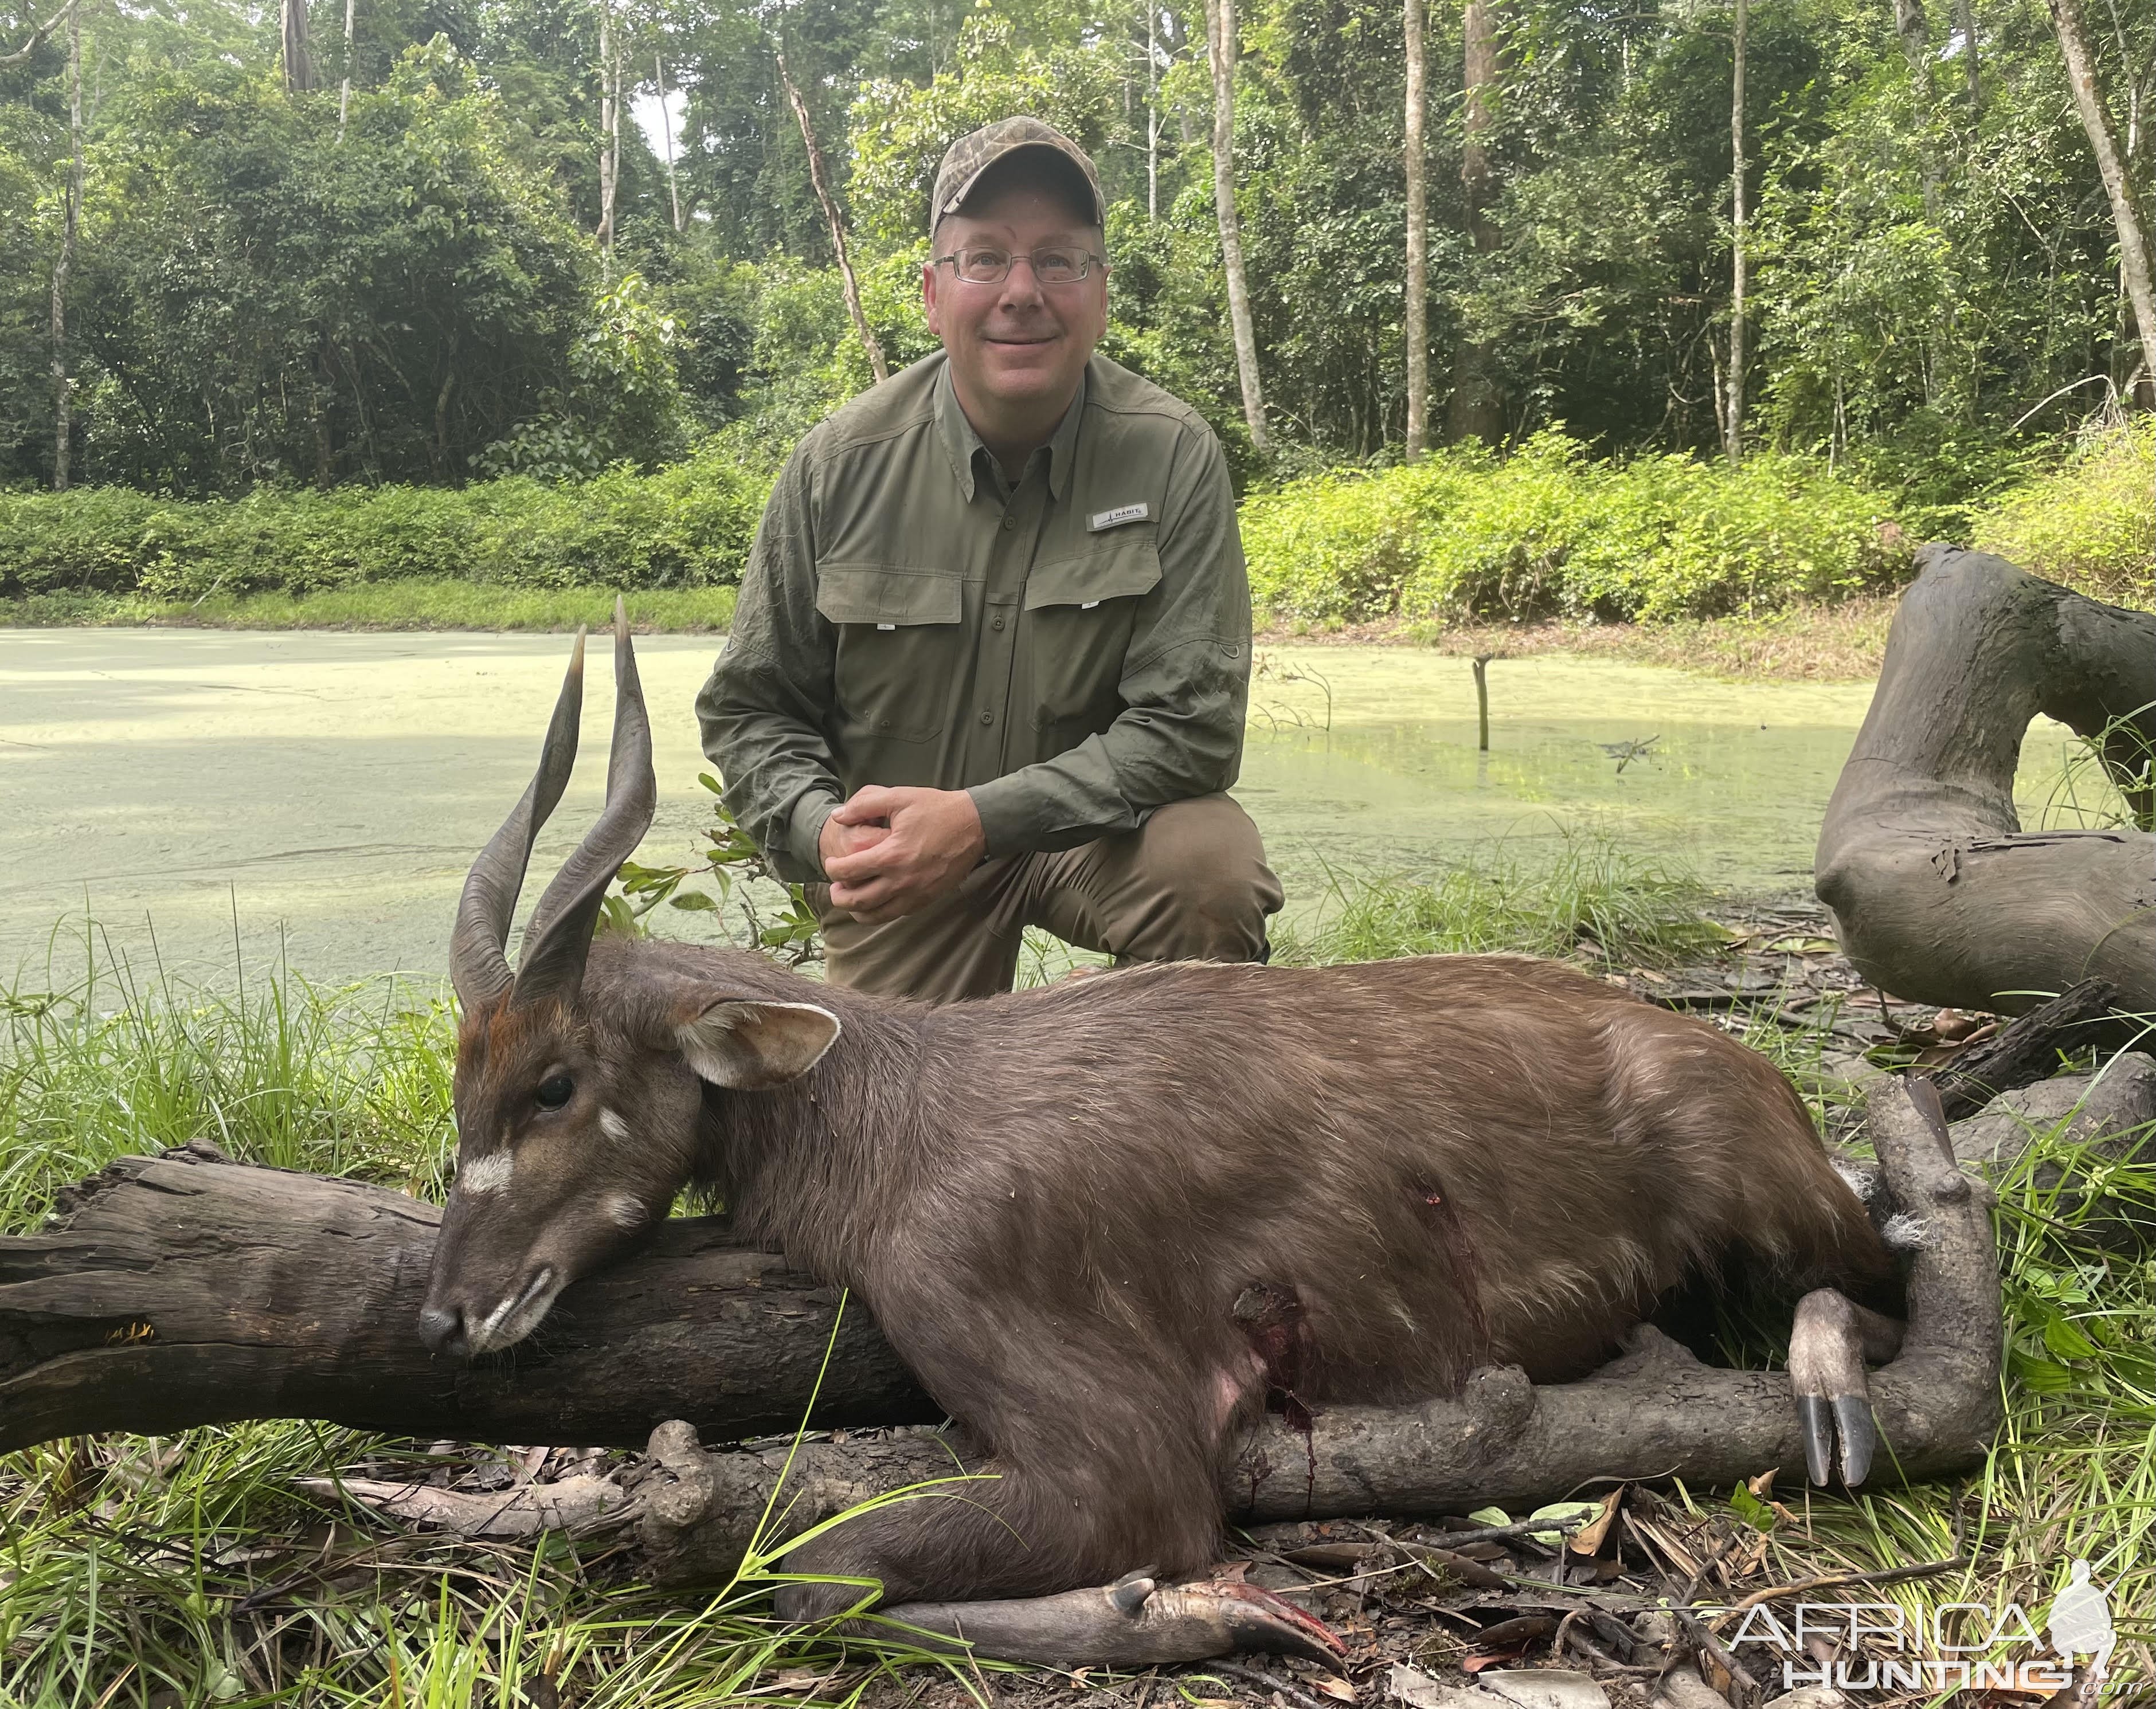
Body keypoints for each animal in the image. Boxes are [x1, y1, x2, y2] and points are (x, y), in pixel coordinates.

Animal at [420, 612, 1905, 1664]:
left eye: (554, 1082)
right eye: (463, 1073)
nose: (447, 1315)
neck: (882, 1115)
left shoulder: (1098, 1423)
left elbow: (819, 1570)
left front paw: (1205, 1609)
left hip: (1761, 1186)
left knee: (1884, 1263)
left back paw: (1827, 1386)